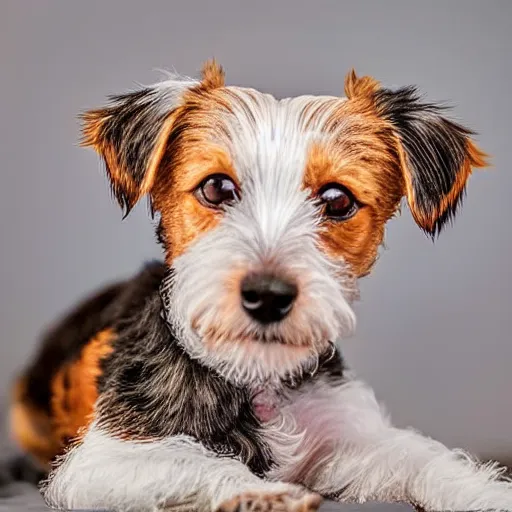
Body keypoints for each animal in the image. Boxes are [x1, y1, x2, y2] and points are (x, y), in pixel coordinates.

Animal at [8, 61, 512, 512]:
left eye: (338, 200)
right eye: (215, 188)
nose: (268, 295)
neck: (257, 377)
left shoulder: (343, 434)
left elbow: (418, 456)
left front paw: (483, 492)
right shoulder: (106, 459)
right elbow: (196, 461)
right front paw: (262, 492)